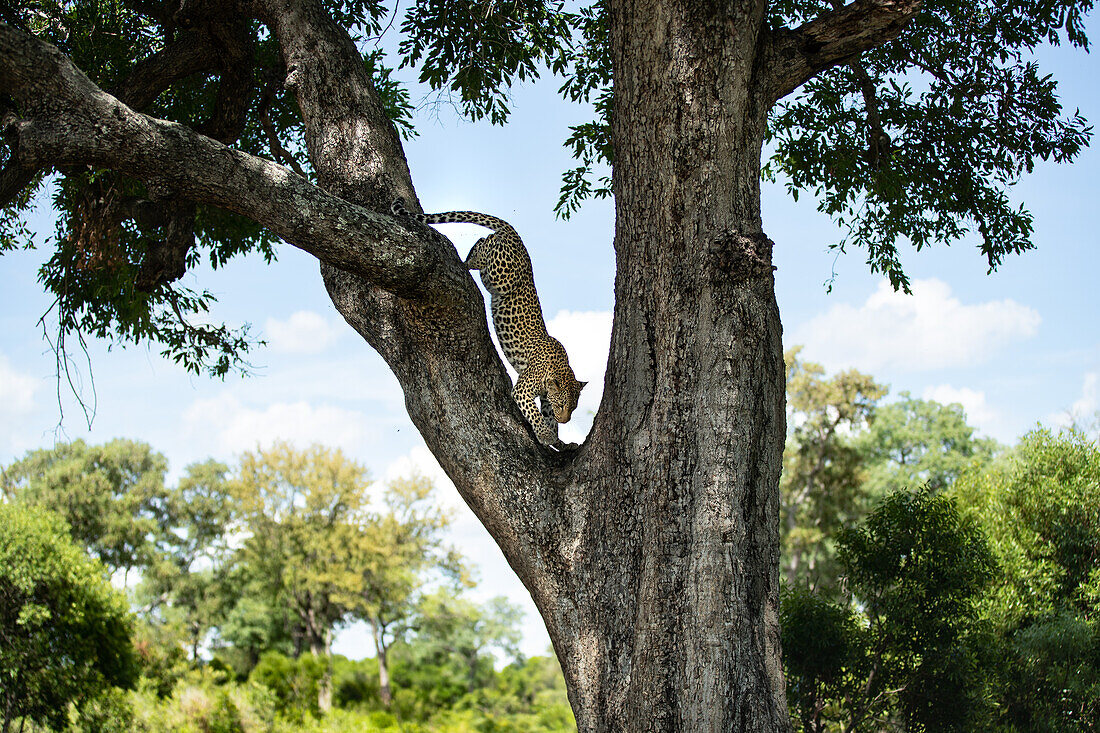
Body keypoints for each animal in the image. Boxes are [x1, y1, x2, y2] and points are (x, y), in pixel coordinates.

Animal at [393, 197, 589, 449]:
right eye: (563, 405)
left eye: (573, 408)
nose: (566, 420)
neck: (557, 368)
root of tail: (515, 234)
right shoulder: (523, 390)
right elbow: (535, 415)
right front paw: (546, 435)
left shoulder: (545, 397)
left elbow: (547, 417)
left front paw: (559, 441)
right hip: (502, 276)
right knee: (485, 244)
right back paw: (469, 259)